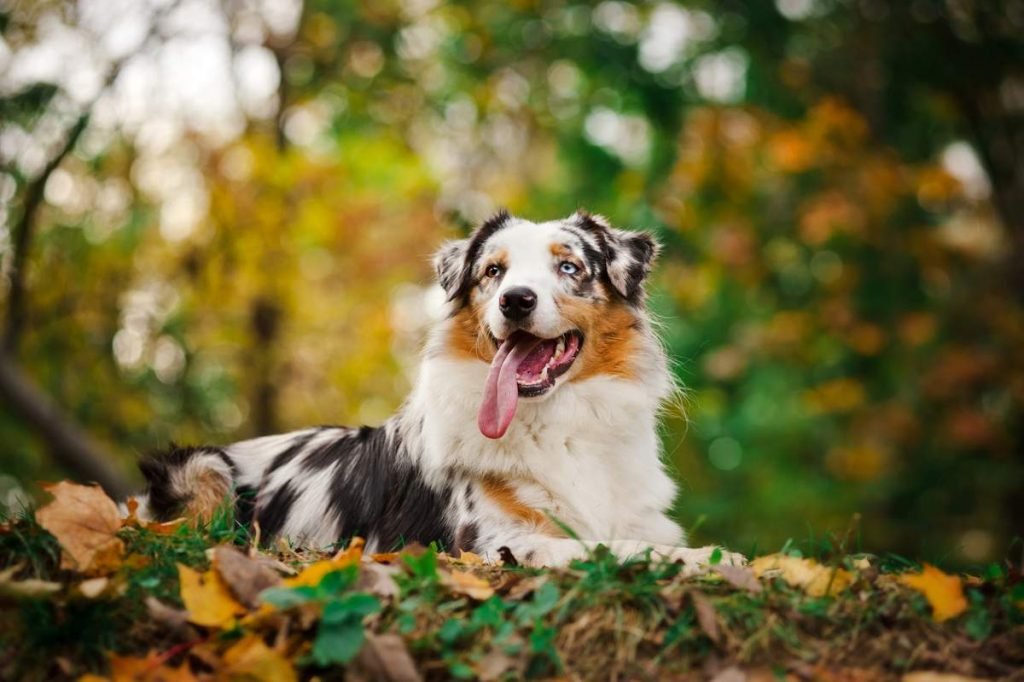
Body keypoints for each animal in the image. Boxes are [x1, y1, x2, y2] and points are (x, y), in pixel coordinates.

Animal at [136, 208, 745, 569]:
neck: (557, 420)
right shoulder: (491, 542)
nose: (516, 300)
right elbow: (606, 546)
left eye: (570, 268)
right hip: (202, 470)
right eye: (493, 272)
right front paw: (714, 556)